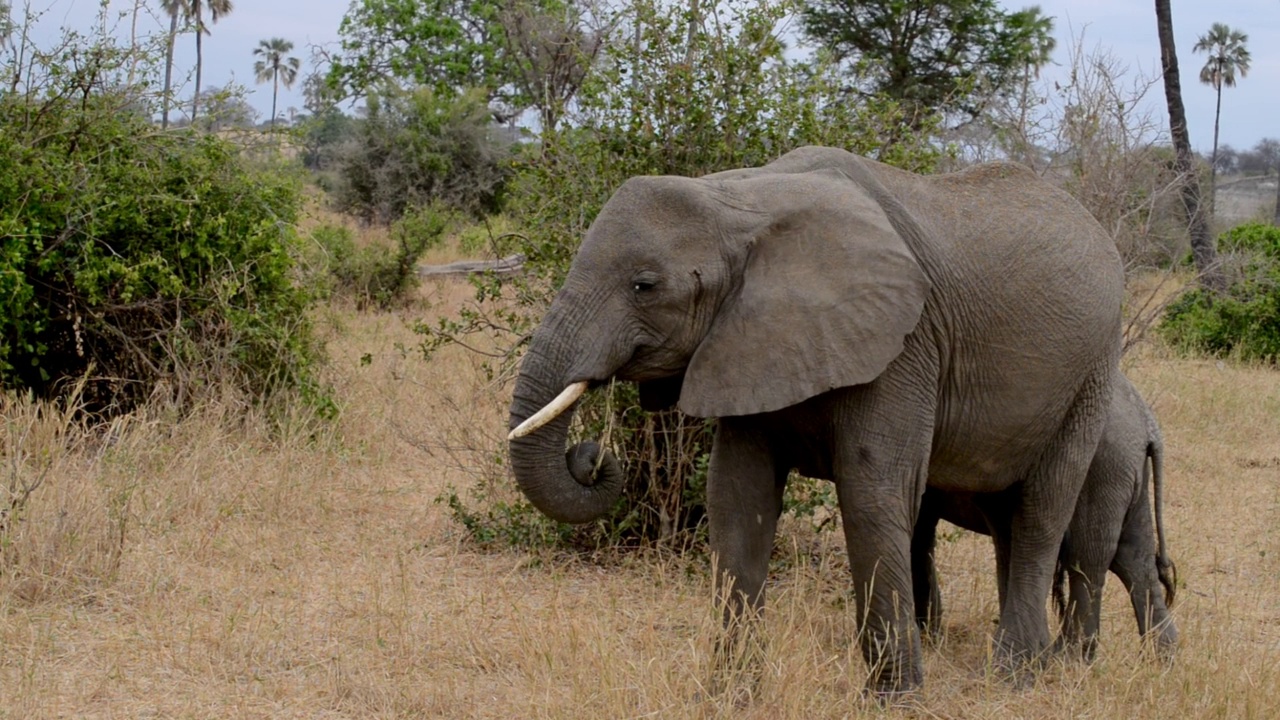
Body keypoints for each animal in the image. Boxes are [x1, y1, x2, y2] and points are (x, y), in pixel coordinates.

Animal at [504, 144, 1126, 691]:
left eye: (644, 286)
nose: (589, 456)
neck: (741, 198)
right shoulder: (746, 338)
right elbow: (737, 498)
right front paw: (730, 695)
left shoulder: (904, 343)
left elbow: (873, 495)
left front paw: (896, 698)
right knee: (1006, 520)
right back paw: (1035, 662)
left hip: (1092, 372)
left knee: (1042, 512)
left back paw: (1016, 675)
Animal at [916, 371, 1172, 661]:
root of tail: (1147, 424)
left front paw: (928, 638)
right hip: (1127, 472)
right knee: (1134, 557)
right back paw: (1162, 658)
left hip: (1104, 470)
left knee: (1091, 555)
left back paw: (1068, 656)